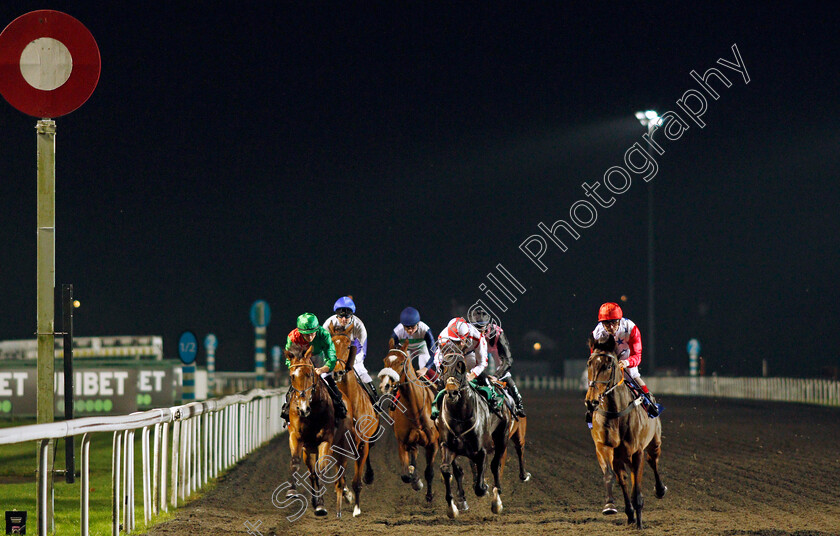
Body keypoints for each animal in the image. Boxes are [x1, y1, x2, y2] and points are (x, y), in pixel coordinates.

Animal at [330, 328, 378, 516]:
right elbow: (339, 477)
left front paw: (357, 509)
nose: (337, 372)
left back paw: (369, 476)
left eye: (348, 345)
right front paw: (346, 495)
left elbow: (357, 481)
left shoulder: (363, 443)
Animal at [378, 340, 440, 502]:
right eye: (385, 360)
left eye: (401, 363)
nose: (385, 385)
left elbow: (429, 471)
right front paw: (416, 481)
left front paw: (429, 496)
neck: (415, 409)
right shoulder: (403, 442)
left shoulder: (433, 443)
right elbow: (406, 475)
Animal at [436, 354, 516, 516]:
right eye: (443, 367)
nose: (452, 392)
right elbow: (447, 470)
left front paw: (485, 488)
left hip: (502, 437)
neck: (460, 417)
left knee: (495, 465)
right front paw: (452, 507)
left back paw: (497, 500)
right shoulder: (448, 446)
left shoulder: (481, 450)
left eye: (461, 368)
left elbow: (480, 485)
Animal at [588, 336, 668, 528]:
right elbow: (611, 475)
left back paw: (660, 490)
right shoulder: (604, 447)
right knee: (623, 476)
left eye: (608, 366)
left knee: (653, 461)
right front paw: (611, 506)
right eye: (589, 364)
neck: (616, 413)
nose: (591, 401)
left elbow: (636, 485)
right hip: (620, 456)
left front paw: (639, 521)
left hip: (654, 443)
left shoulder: (636, 451)